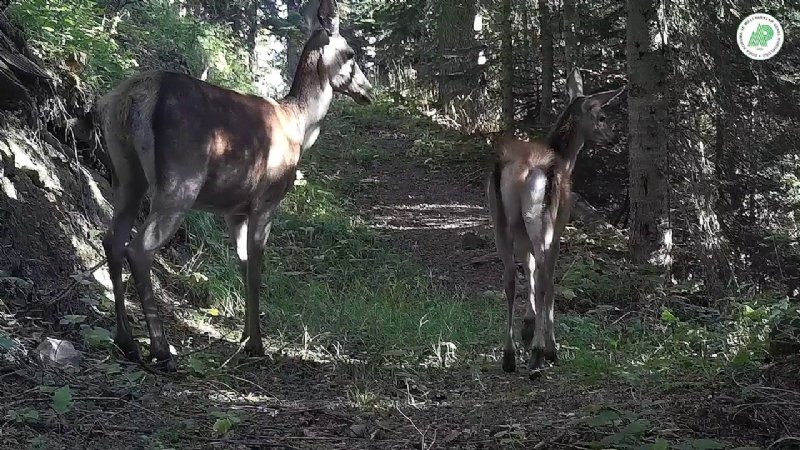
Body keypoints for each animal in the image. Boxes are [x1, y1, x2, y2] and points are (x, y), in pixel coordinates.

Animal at [98, 0, 374, 370]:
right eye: (351, 53)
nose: (368, 90)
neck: (299, 126)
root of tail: (133, 98)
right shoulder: (267, 199)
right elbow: (256, 268)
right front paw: (256, 344)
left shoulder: (234, 210)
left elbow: (242, 265)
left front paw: (244, 336)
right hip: (180, 180)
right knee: (139, 248)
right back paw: (161, 350)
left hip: (126, 174)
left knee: (111, 240)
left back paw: (125, 341)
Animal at [488, 70, 624, 378]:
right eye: (602, 117)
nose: (613, 138)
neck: (564, 158)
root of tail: (519, 168)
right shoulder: (560, 226)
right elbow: (547, 279)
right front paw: (547, 344)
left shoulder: (521, 233)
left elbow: (528, 269)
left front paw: (528, 328)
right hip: (542, 216)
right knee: (543, 276)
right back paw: (540, 355)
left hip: (499, 216)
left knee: (509, 276)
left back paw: (509, 355)